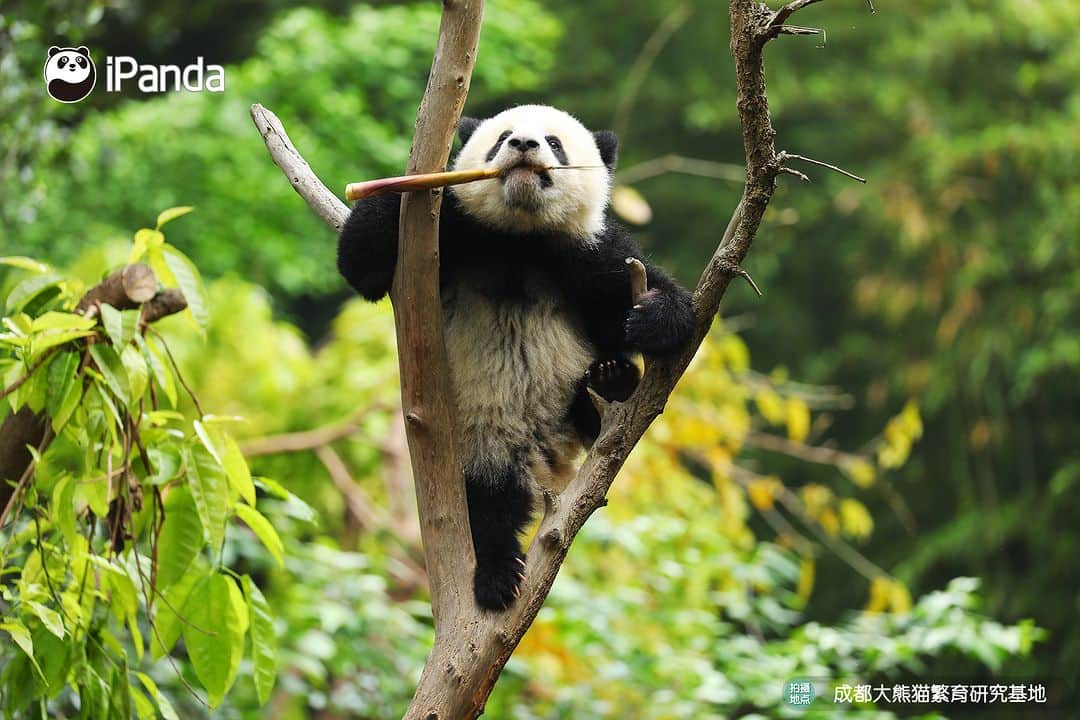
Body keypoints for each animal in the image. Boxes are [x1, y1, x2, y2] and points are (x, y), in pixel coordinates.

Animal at [336, 104, 691, 613]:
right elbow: (361, 264)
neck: (518, 239)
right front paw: (410, 183)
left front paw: (653, 318)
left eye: (554, 142)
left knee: (593, 406)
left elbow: (650, 295)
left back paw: (612, 382)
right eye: (502, 137)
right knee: (486, 507)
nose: (524, 145)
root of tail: (546, 459)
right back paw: (499, 575)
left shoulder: (587, 252)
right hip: (482, 442)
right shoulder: (452, 236)